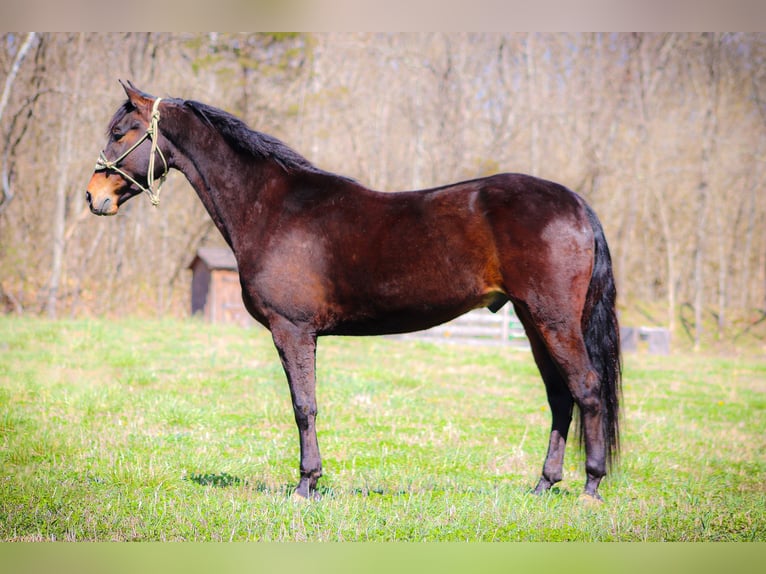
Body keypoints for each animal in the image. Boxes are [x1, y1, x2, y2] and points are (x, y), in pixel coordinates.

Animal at [87, 81, 620, 504]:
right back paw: (543, 485)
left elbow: (304, 407)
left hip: (553, 320)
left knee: (586, 389)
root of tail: (576, 205)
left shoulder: (292, 330)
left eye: (120, 133)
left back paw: (590, 487)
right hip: (534, 321)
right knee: (560, 397)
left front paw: (306, 484)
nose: (95, 197)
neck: (272, 207)